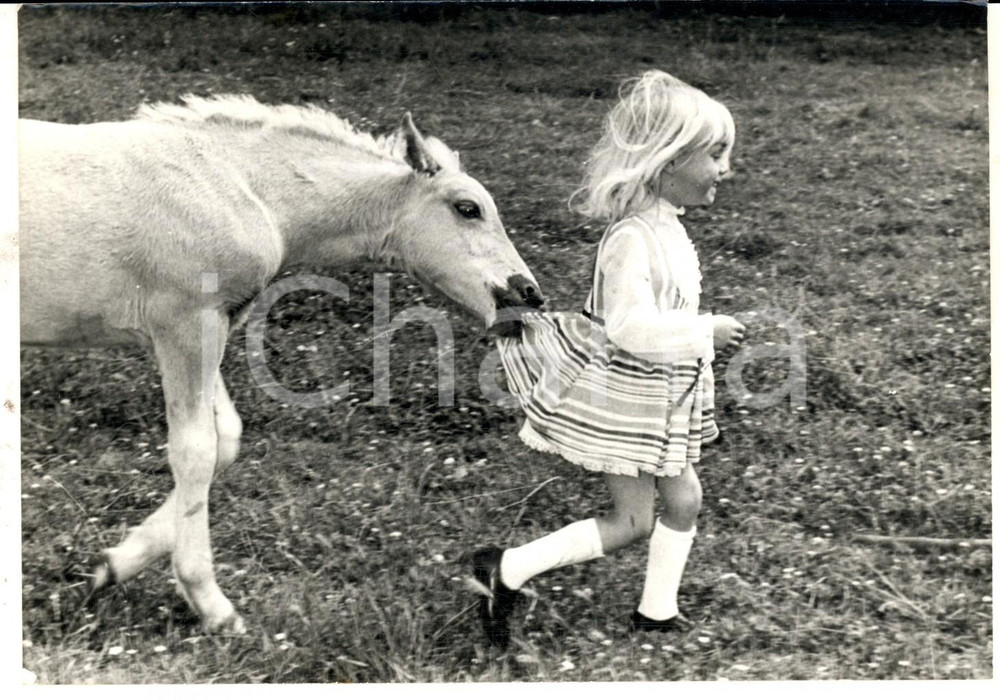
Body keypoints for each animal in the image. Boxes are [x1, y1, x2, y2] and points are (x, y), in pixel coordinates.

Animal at [19, 95, 544, 633]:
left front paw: (112, 565)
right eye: (467, 208)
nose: (529, 294)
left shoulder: (202, 329)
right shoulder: (185, 325)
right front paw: (210, 602)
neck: (242, 186)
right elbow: (194, 451)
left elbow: (225, 440)